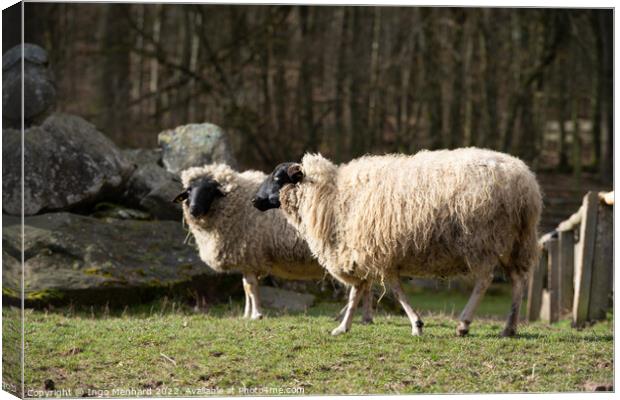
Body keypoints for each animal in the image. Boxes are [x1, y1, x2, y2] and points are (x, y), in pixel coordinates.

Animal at [174, 162, 372, 322]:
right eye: (188, 192)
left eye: (209, 190)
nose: (194, 210)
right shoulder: (247, 260)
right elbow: (246, 288)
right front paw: (247, 314)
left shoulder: (249, 254)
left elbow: (251, 287)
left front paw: (256, 314)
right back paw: (363, 317)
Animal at [252, 148, 544, 338]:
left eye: (278, 177)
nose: (255, 200)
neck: (331, 196)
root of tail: (524, 184)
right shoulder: (362, 251)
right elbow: (359, 290)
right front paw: (343, 327)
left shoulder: (376, 252)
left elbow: (392, 289)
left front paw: (416, 324)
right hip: (517, 242)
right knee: (519, 281)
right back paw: (509, 328)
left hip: (482, 240)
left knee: (484, 280)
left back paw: (464, 324)